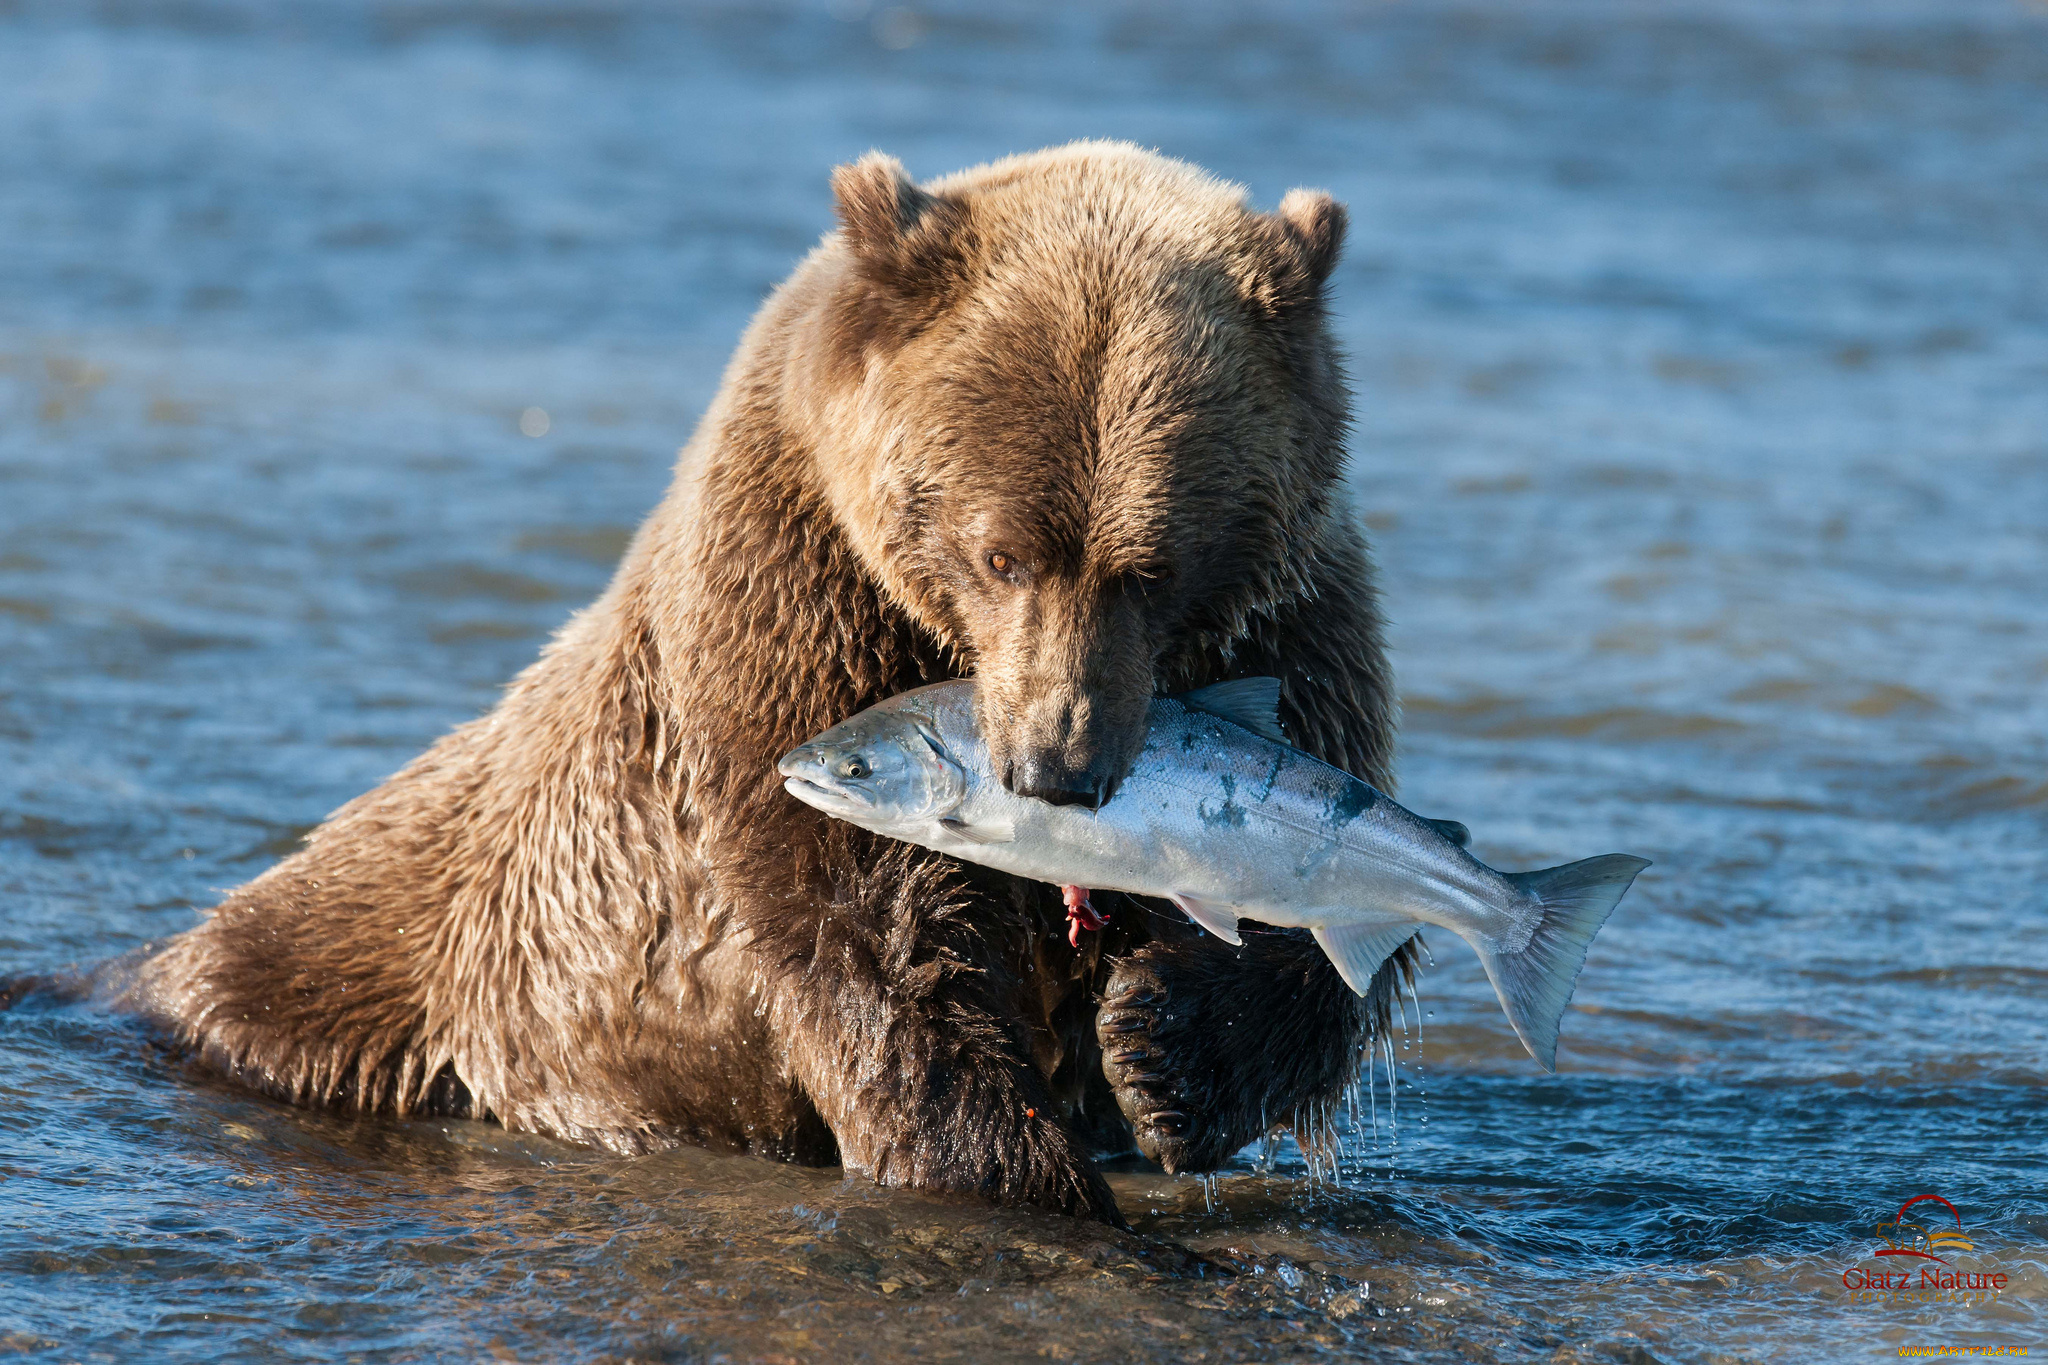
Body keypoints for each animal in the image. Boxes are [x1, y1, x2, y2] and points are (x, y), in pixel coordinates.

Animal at [123, 141, 1409, 1227]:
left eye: (1154, 568)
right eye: (1000, 553)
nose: (1058, 766)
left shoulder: (1291, 626)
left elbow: (1330, 907)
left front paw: (1160, 1050)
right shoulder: (797, 602)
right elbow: (868, 923)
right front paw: (1008, 1167)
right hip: (397, 956)